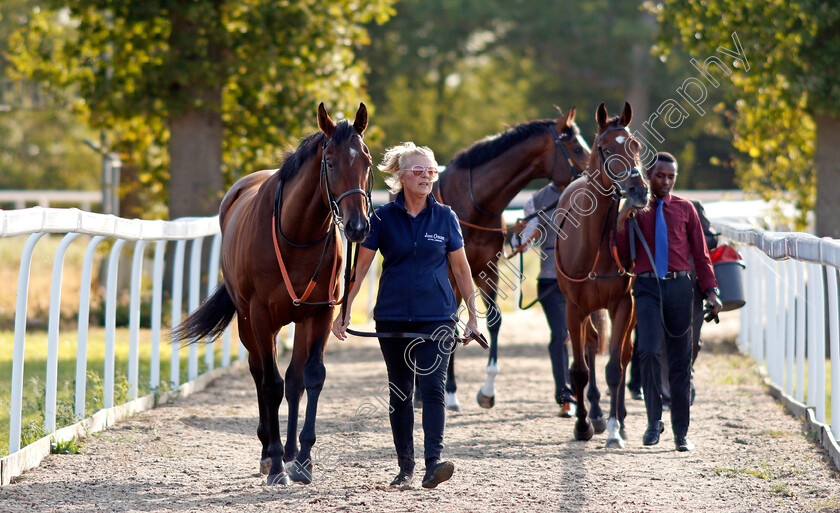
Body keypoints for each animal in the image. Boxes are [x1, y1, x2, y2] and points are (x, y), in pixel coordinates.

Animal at [174, 102, 370, 482]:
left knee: (293, 379)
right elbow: (270, 384)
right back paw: (269, 451)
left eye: (367, 161)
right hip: (249, 322)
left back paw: (291, 451)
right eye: (330, 162)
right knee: (259, 372)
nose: (357, 226)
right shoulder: (261, 316)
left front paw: (303, 459)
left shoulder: (320, 312)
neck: (299, 235)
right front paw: (276, 462)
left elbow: (311, 377)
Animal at [434, 106, 592, 410]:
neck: (474, 202)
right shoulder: (452, 272)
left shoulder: (487, 269)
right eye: (577, 148)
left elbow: (494, 321)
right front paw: (449, 394)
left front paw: (487, 391)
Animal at [556, 102, 648, 446]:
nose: (639, 190)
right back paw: (593, 414)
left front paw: (614, 430)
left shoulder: (623, 303)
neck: (592, 246)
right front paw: (583, 424)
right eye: (606, 150)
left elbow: (615, 368)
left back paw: (616, 418)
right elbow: (580, 369)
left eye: (635, 146)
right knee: (592, 345)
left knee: (622, 354)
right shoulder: (573, 308)